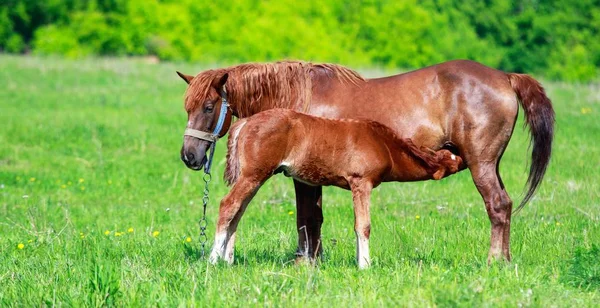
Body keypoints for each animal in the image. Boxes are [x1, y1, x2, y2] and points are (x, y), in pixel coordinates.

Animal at [211, 108, 464, 268]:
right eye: (453, 160)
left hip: (253, 177)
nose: (464, 157)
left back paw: (228, 260)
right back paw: (214, 260)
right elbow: (363, 225)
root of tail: (245, 122)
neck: (384, 143)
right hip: (253, 175)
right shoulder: (361, 182)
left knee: (238, 212)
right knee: (228, 205)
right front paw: (365, 265)